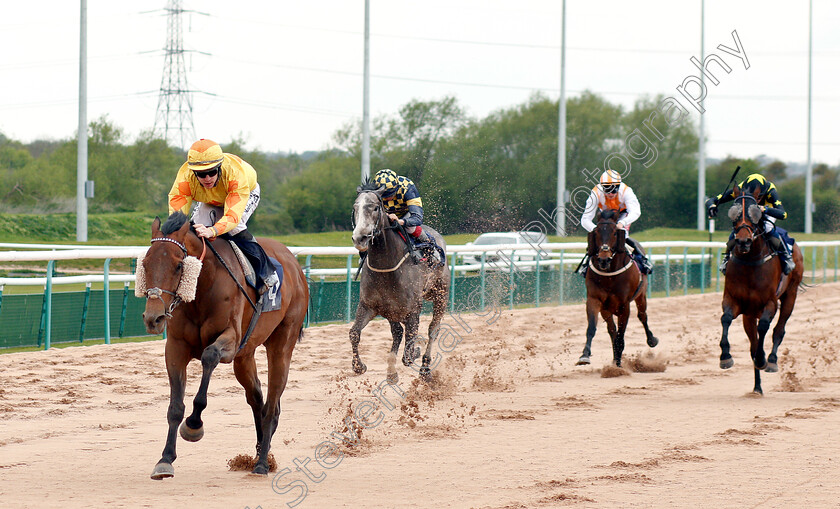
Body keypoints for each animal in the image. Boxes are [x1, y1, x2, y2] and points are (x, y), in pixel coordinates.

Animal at [139, 212, 310, 478]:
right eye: (145, 264)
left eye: (179, 265)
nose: (153, 318)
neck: (202, 287)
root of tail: (294, 264)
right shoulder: (176, 348)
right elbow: (175, 406)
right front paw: (165, 459)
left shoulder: (230, 339)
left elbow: (209, 356)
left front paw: (194, 424)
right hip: (245, 355)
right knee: (257, 398)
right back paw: (259, 453)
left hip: (282, 343)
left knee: (272, 405)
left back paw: (262, 463)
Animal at [350, 181, 450, 382]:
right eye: (355, 208)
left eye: (374, 207)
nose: (360, 238)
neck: (386, 265)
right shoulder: (369, 305)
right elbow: (354, 333)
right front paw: (358, 366)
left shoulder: (413, 310)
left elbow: (409, 352)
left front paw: (416, 351)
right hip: (392, 310)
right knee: (397, 333)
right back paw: (391, 372)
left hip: (441, 295)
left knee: (433, 329)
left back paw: (425, 369)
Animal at [576, 208, 660, 368]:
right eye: (596, 232)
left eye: (615, 232)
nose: (603, 259)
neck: (609, 275)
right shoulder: (595, 300)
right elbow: (592, 328)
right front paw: (585, 355)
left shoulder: (624, 305)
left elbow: (621, 336)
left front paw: (619, 365)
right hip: (606, 309)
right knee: (612, 330)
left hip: (641, 295)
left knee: (642, 316)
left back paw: (651, 340)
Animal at [720, 187, 804, 392]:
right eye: (733, 214)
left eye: (755, 214)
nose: (743, 241)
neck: (750, 261)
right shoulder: (733, 300)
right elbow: (726, 319)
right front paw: (725, 357)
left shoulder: (770, 303)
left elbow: (765, 326)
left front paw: (763, 359)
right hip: (749, 314)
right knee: (753, 343)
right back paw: (757, 387)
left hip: (790, 295)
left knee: (779, 329)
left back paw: (772, 360)